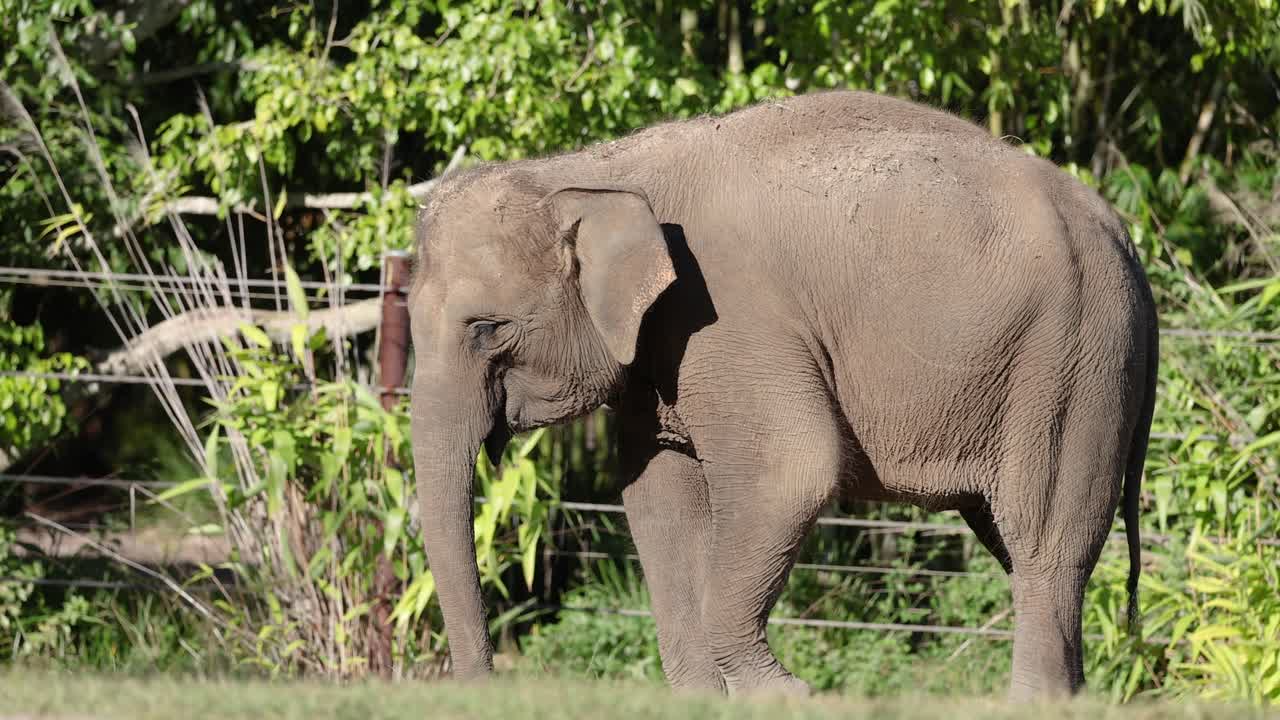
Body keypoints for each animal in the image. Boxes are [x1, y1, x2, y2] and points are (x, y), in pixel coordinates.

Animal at [407, 89, 1158, 699]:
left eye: (486, 330)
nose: (485, 686)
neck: (598, 170)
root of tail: (1122, 233)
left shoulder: (732, 318)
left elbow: (788, 469)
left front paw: (782, 695)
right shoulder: (660, 356)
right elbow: (655, 496)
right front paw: (703, 699)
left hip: (1071, 359)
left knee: (1043, 539)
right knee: (1019, 543)